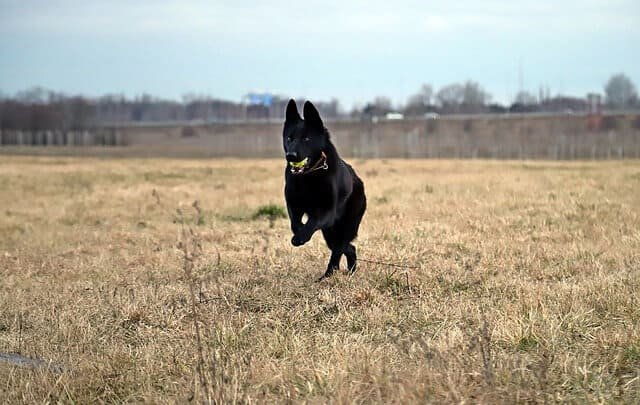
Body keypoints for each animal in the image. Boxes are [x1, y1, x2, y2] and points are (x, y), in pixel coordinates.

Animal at [284, 99, 368, 280]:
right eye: (289, 138)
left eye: (306, 138)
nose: (291, 155)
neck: (309, 176)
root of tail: (359, 182)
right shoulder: (293, 205)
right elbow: (295, 223)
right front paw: (299, 233)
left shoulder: (326, 211)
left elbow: (311, 222)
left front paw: (301, 237)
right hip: (330, 232)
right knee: (348, 248)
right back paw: (345, 272)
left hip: (343, 226)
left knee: (340, 249)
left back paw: (329, 275)